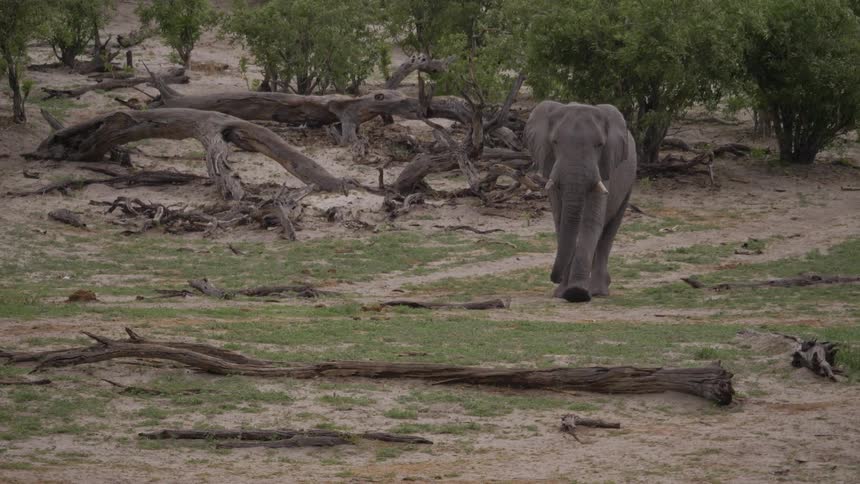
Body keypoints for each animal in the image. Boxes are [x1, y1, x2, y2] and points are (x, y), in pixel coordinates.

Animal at [525, 101, 637, 303]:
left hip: (630, 181)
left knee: (609, 230)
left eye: (599, 145)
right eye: (555, 142)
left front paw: (577, 293)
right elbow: (561, 220)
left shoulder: (605, 168)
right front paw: (564, 293)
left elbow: (591, 222)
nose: (554, 278)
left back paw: (598, 290)